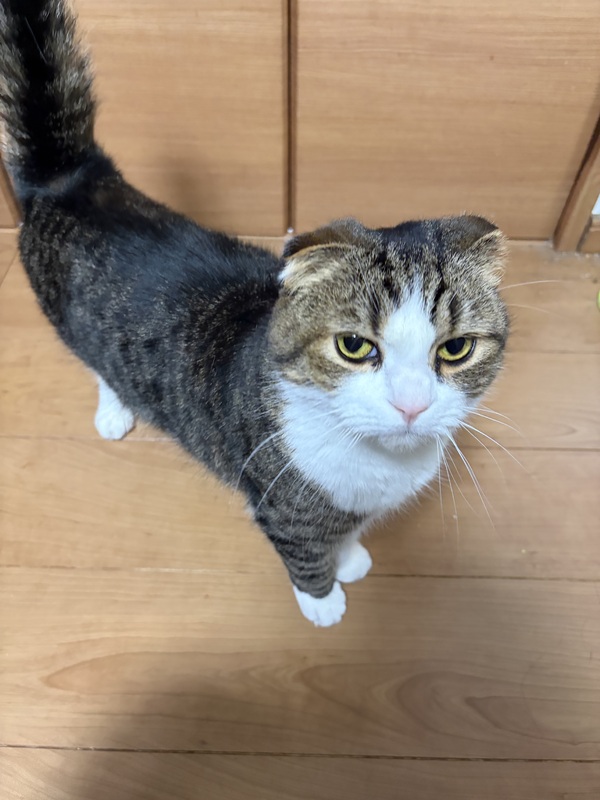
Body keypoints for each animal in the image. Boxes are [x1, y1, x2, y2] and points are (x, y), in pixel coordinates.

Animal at [0, 0, 509, 626]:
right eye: (354, 346)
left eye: (456, 349)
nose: (411, 406)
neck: (379, 467)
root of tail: (73, 179)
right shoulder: (281, 503)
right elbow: (305, 551)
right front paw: (324, 600)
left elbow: (344, 532)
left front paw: (350, 558)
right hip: (71, 324)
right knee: (96, 364)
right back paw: (115, 411)